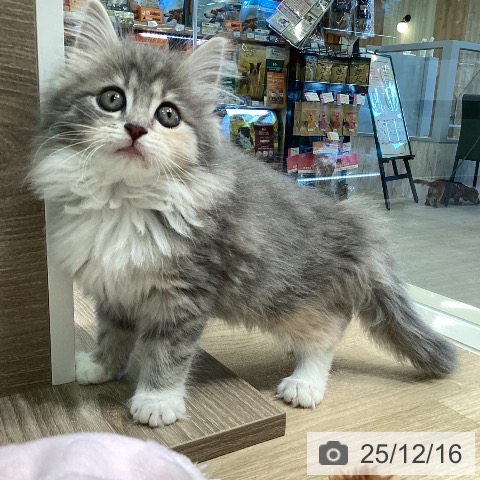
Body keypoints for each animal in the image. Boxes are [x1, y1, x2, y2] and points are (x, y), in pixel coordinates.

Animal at [28, 0, 457, 428]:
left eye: (168, 115)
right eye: (112, 99)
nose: (134, 129)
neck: (126, 199)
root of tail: (352, 222)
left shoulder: (185, 293)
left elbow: (168, 352)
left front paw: (157, 400)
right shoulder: (113, 287)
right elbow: (113, 333)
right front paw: (101, 366)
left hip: (289, 296)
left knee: (329, 331)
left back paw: (305, 382)